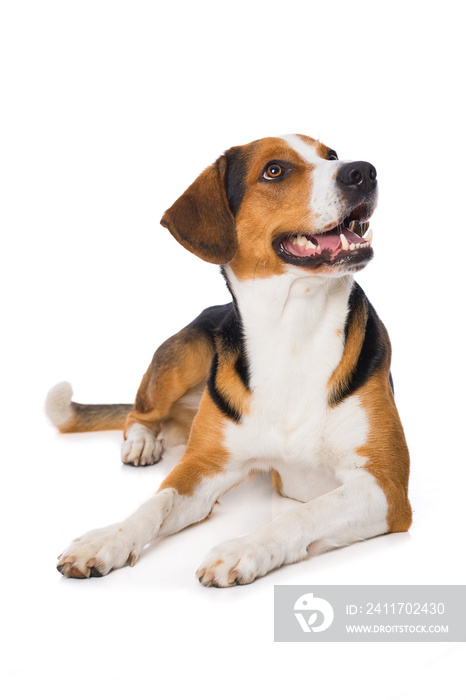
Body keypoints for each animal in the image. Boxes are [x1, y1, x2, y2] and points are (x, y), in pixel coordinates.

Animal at [48, 131, 412, 584]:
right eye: (274, 170)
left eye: (331, 155)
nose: (363, 171)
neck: (292, 330)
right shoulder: (203, 466)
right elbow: (155, 503)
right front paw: (105, 539)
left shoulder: (386, 486)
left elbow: (303, 514)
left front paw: (242, 549)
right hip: (187, 352)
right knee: (138, 413)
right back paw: (142, 444)